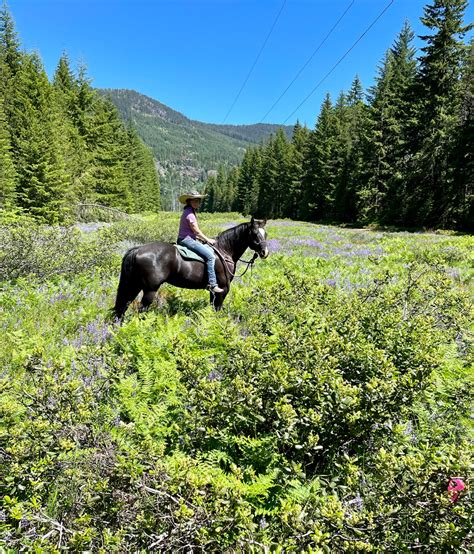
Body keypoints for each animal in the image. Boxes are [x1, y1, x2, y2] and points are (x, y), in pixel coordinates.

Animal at [113, 217, 268, 316]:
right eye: (254, 234)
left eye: (265, 234)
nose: (264, 252)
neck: (224, 251)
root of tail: (138, 249)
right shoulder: (222, 290)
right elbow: (217, 309)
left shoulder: (213, 292)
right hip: (150, 289)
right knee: (141, 311)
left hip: (134, 285)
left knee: (123, 307)